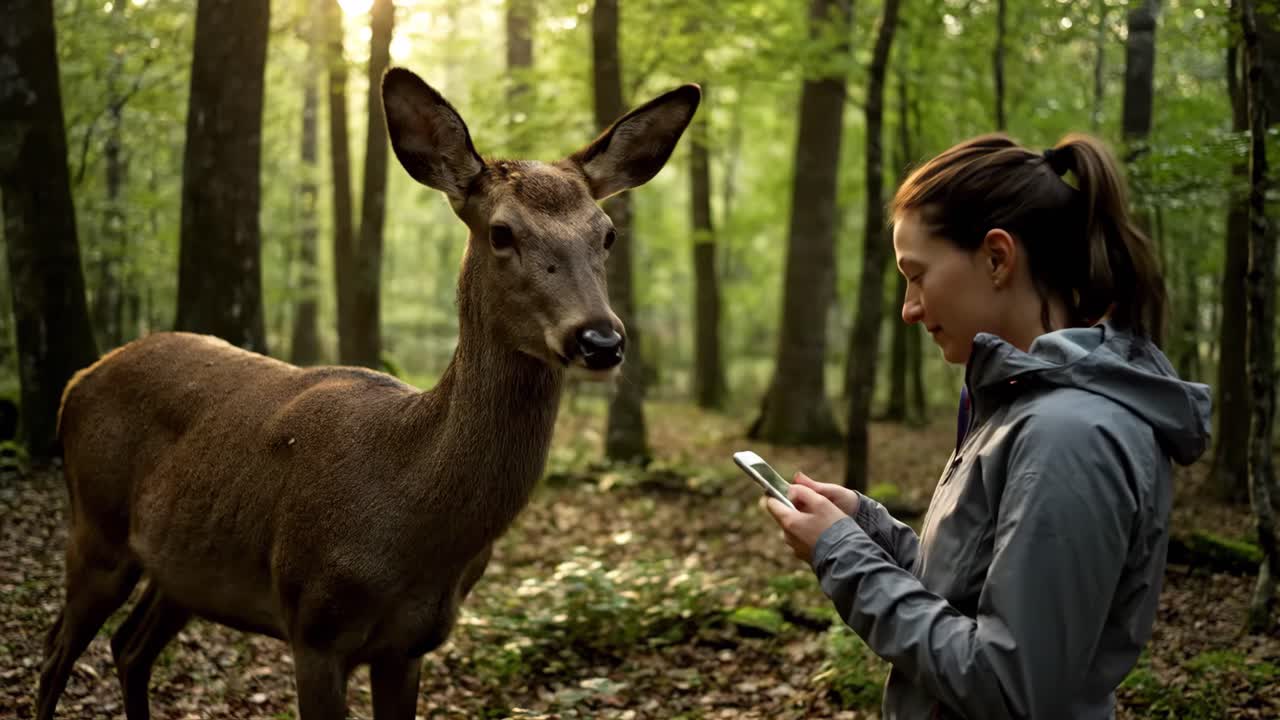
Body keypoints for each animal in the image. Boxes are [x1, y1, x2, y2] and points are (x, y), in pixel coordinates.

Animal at [36, 66, 700, 720]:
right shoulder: (313, 625)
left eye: (607, 234)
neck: (410, 524)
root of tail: (76, 383)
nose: (600, 339)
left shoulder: (412, 643)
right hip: (97, 527)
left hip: (181, 571)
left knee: (129, 647)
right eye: (501, 231)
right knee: (55, 653)